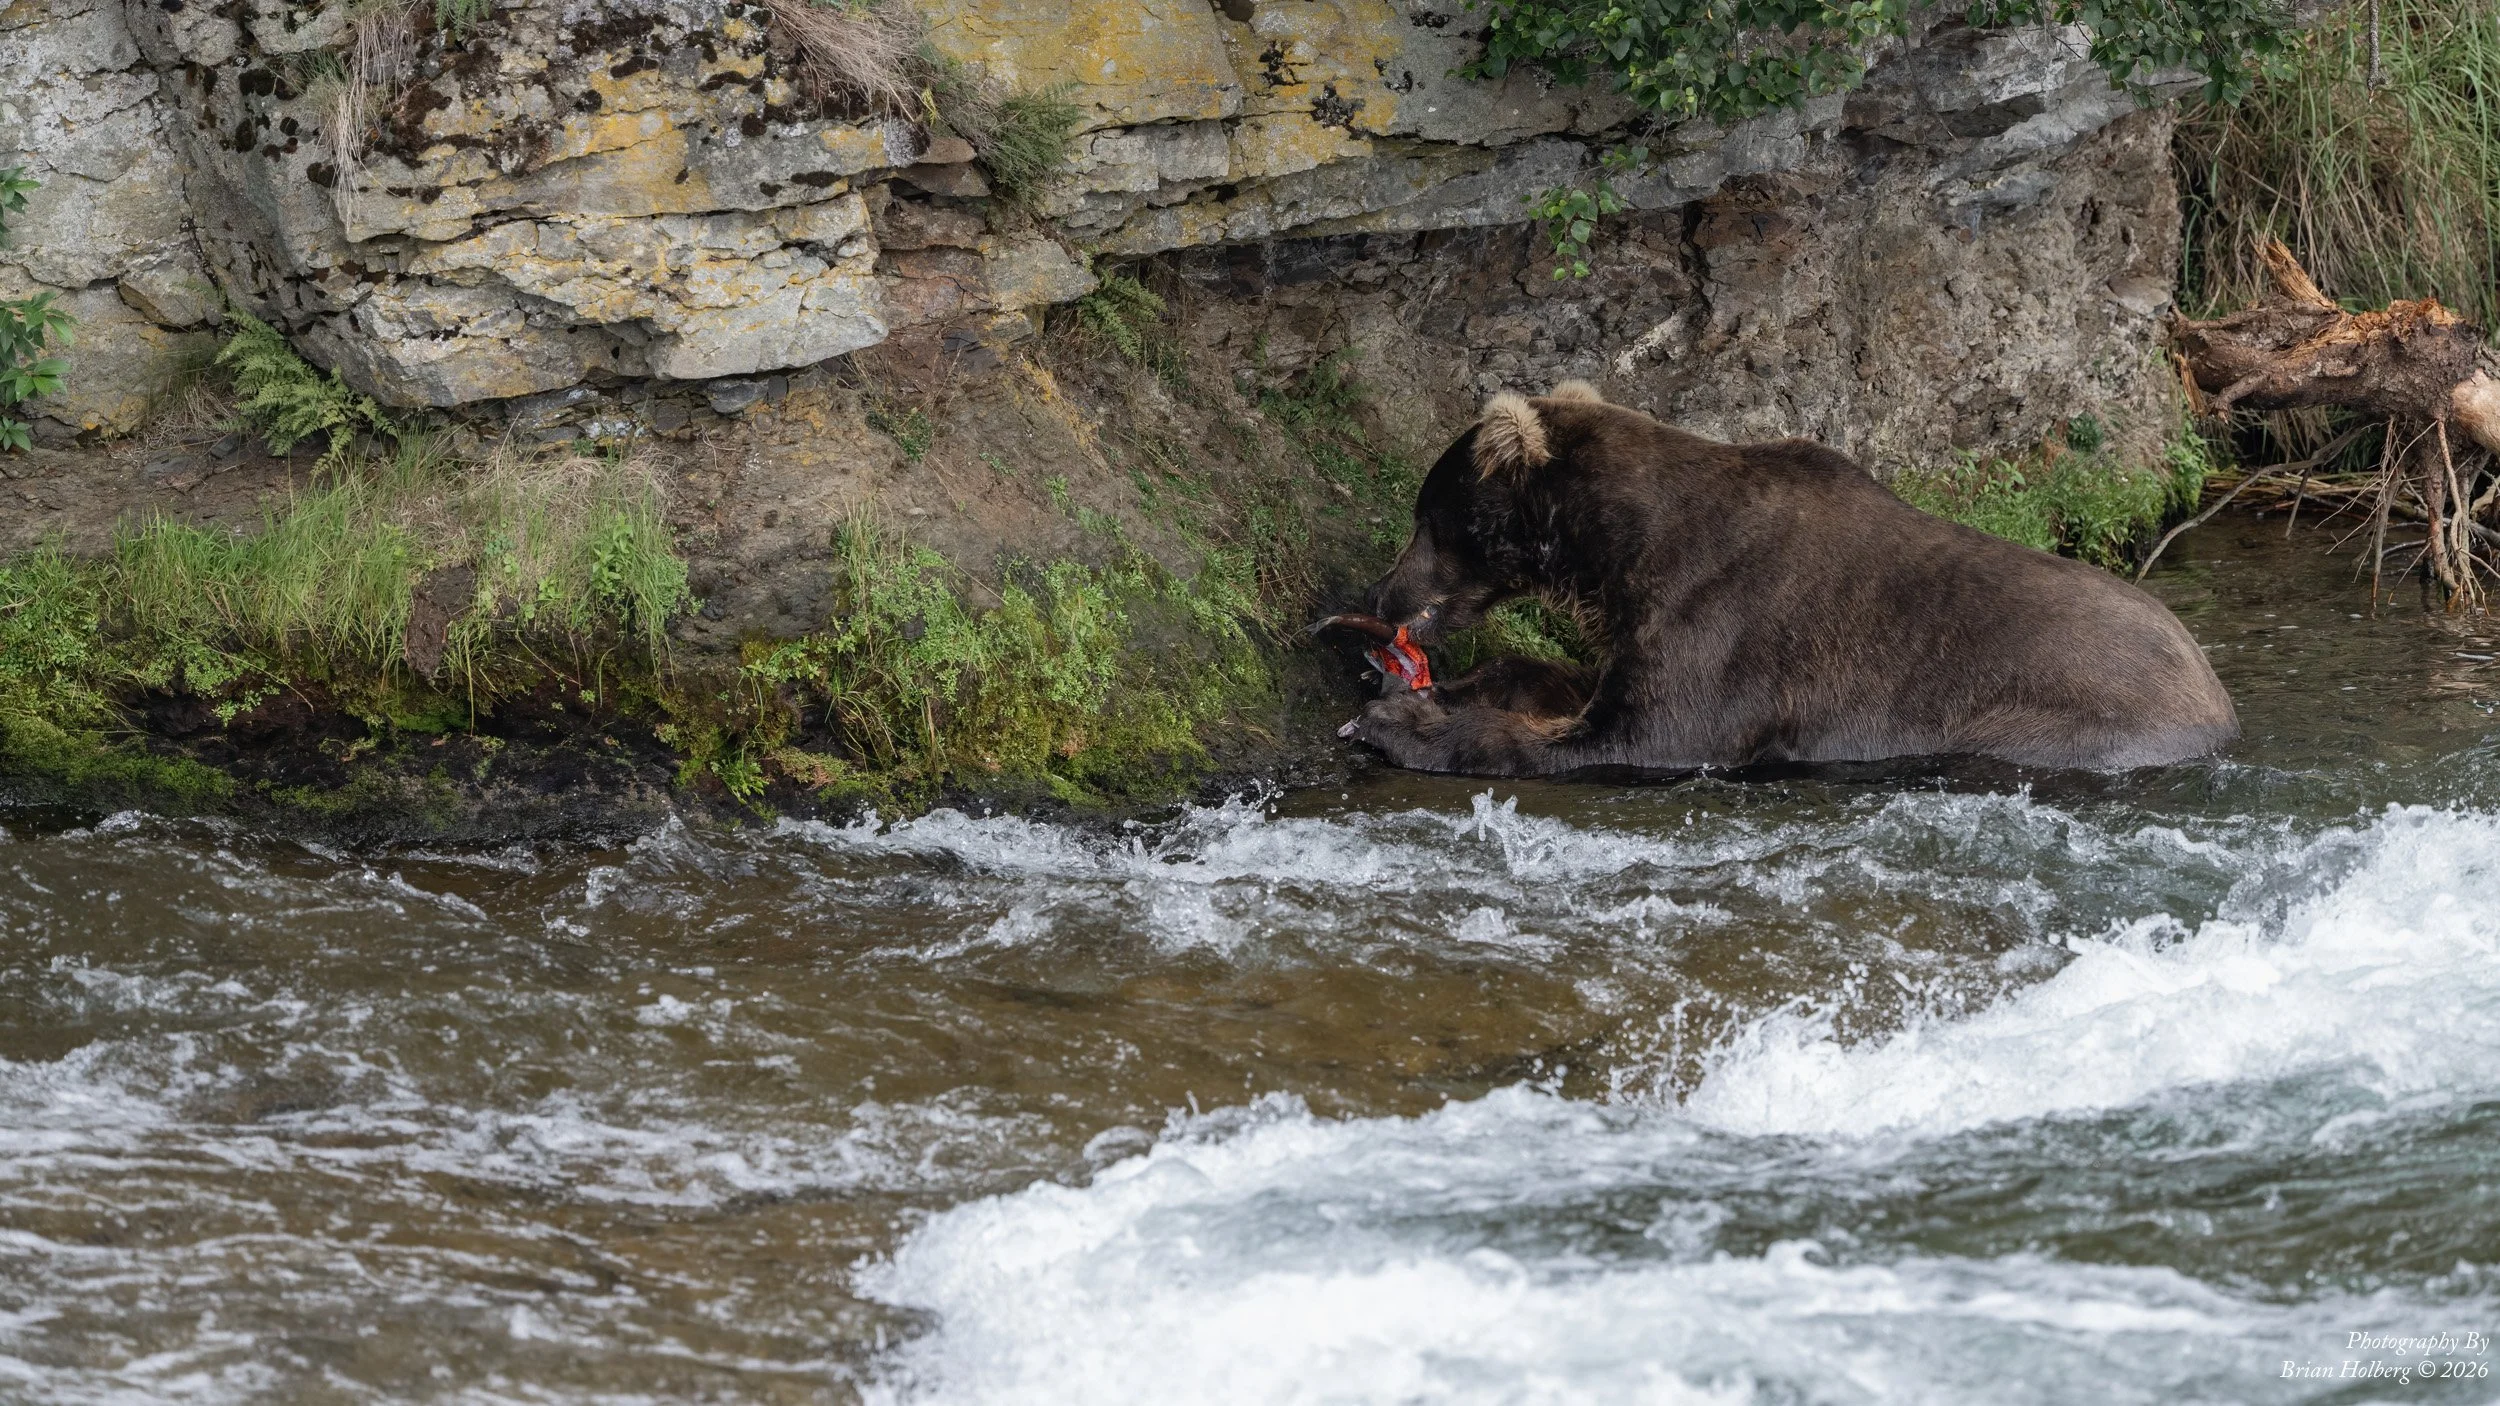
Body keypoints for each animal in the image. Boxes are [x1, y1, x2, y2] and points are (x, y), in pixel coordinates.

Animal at [1336, 382, 2239, 776]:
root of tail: (2217, 691)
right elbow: (1575, 683)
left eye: (1427, 517)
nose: (1380, 596)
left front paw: (1405, 725)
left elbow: (1649, 734)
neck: (1623, 549)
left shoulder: (1720, 620)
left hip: (2061, 716)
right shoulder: (1637, 619)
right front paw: (1437, 688)